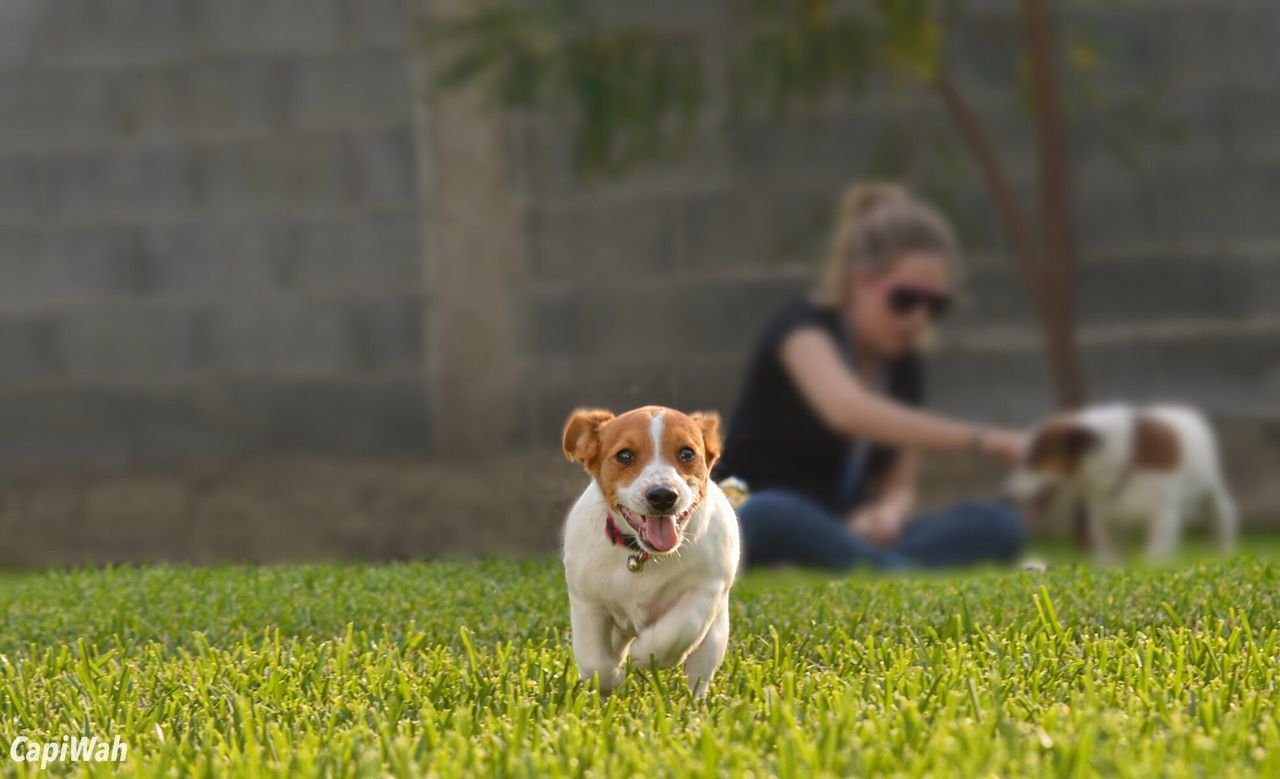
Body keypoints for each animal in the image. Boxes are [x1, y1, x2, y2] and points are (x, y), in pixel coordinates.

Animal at [560, 404, 742, 695]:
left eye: (687, 453)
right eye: (625, 455)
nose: (663, 495)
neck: (643, 555)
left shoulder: (707, 588)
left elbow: (679, 629)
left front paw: (648, 654)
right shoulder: (587, 601)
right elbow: (594, 662)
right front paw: (612, 681)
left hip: (715, 637)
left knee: (699, 674)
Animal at [1008, 404, 1239, 562]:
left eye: (1034, 460)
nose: (1007, 494)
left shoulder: (1163, 516)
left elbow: (1156, 551)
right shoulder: (1103, 521)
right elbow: (1109, 554)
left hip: (1211, 494)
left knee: (1222, 520)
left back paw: (1224, 551)